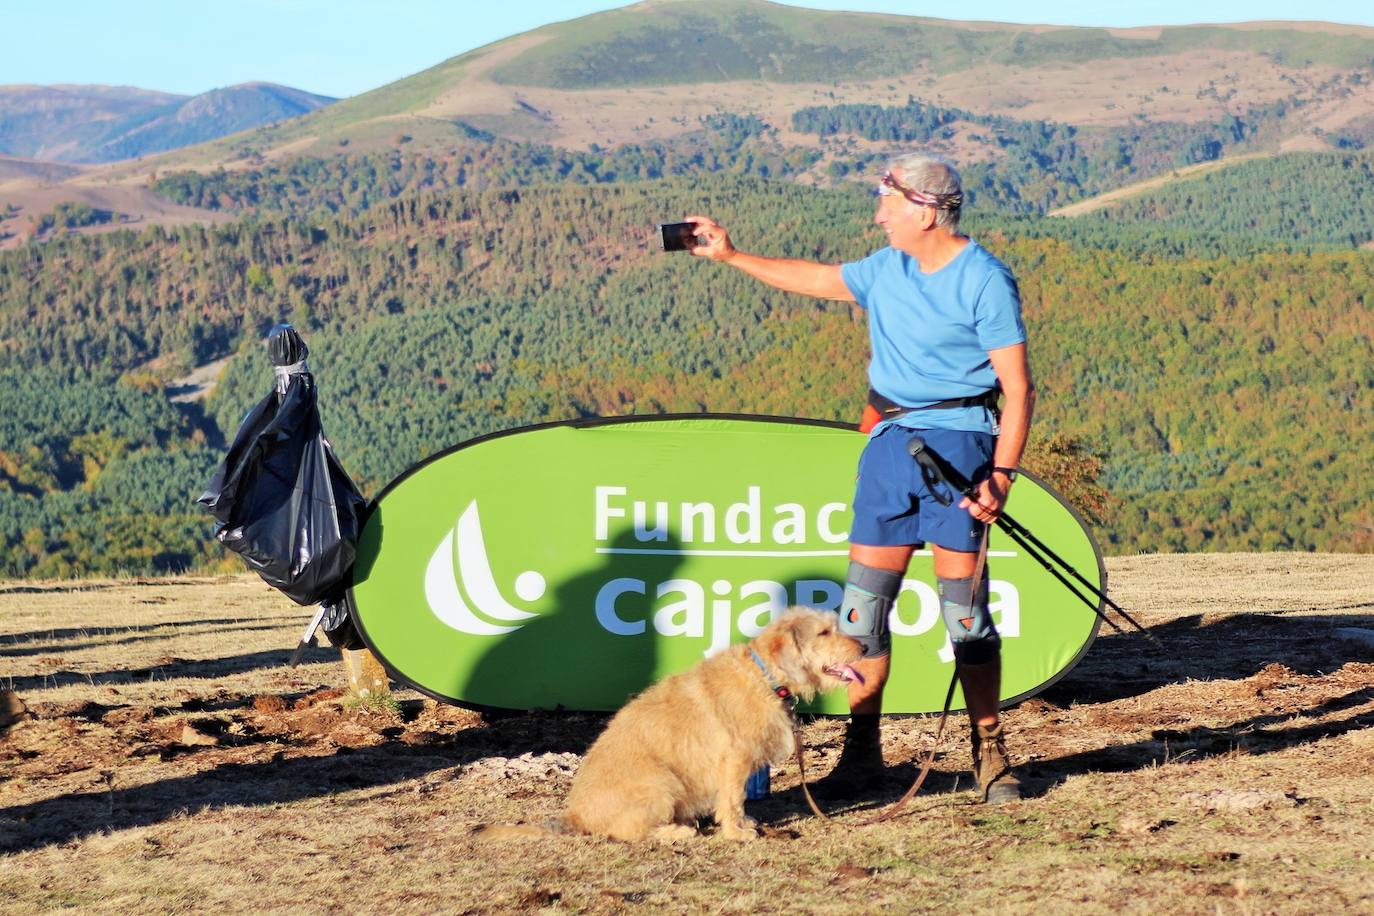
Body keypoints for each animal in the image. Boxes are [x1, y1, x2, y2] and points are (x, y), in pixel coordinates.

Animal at [478, 609, 851, 845]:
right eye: (824, 632)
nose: (862, 647)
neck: (764, 675)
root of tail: (574, 817)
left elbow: (737, 800)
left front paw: (743, 825)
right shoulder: (733, 760)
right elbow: (733, 799)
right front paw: (736, 833)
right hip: (661, 783)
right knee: (628, 832)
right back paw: (677, 832)